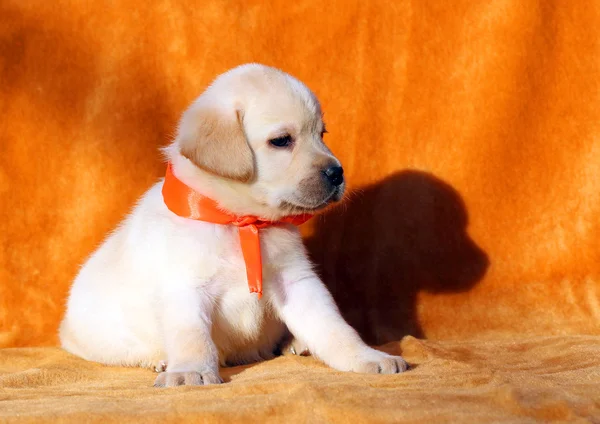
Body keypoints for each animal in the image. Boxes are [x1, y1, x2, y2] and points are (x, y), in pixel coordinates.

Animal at [59, 64, 408, 386]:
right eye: (281, 141)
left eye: (321, 134)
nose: (337, 174)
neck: (238, 221)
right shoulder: (186, 291)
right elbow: (193, 338)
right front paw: (190, 371)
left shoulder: (297, 282)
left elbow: (335, 328)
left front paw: (367, 357)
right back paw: (159, 361)